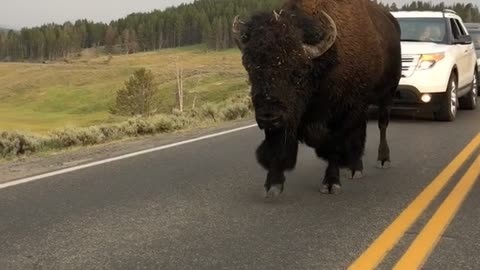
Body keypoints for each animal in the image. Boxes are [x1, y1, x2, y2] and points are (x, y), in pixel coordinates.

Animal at [232, 0, 402, 195]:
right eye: (250, 69)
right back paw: (355, 168)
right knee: (360, 129)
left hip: (387, 94)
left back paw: (382, 160)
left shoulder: (338, 116)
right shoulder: (283, 120)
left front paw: (331, 183)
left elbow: (333, 147)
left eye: (299, 72)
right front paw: (273, 185)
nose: (269, 117)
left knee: (382, 125)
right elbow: (276, 146)